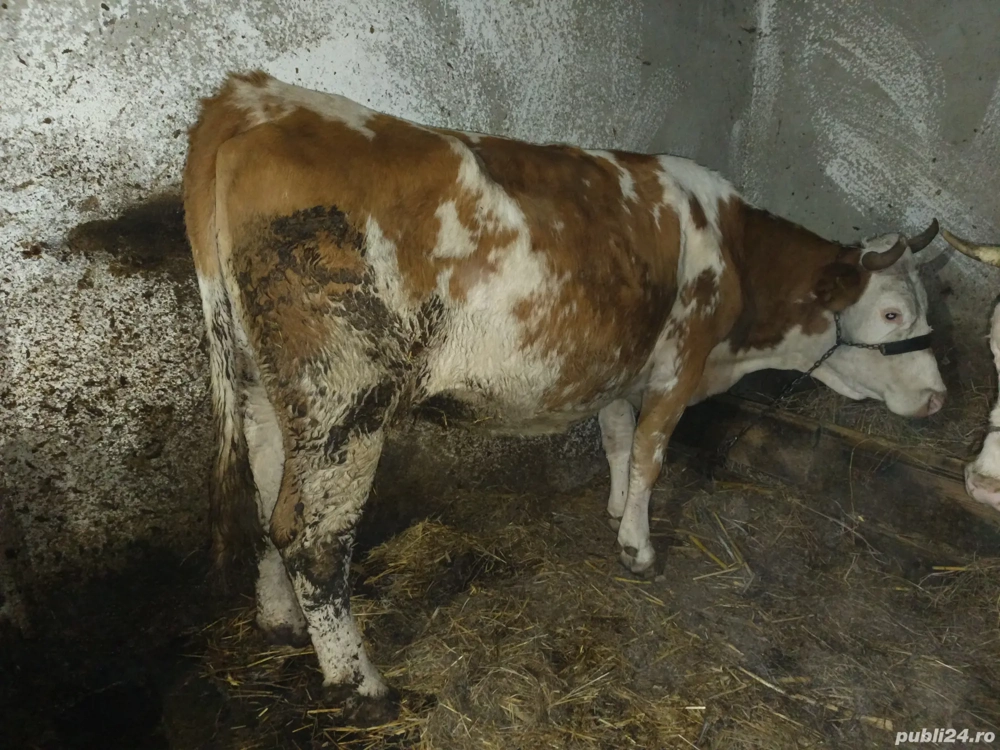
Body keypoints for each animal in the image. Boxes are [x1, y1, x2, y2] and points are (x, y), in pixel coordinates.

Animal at [182, 71, 946, 722]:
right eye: (892, 314)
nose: (940, 396)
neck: (734, 254)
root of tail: (257, 98)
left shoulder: (618, 364)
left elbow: (616, 437)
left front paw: (614, 510)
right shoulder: (683, 357)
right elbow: (651, 451)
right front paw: (638, 546)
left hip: (265, 389)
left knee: (269, 507)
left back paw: (279, 619)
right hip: (347, 397)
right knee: (314, 540)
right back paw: (361, 683)